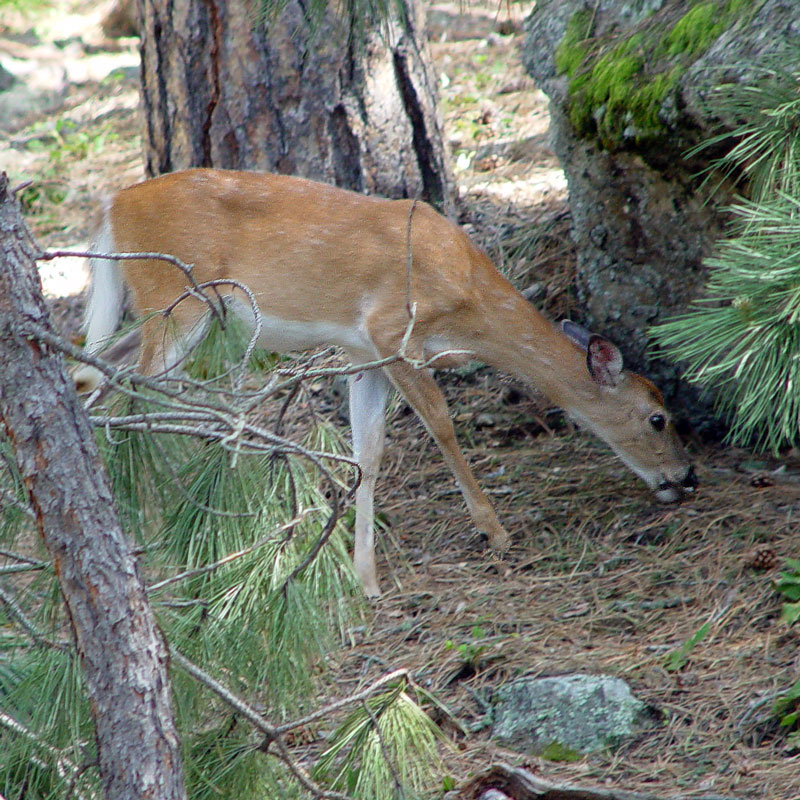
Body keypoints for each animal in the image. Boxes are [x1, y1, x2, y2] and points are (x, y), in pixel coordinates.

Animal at [76, 167, 700, 592]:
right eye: (658, 417)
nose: (686, 477)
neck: (469, 300)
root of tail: (111, 203)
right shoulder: (393, 331)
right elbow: (441, 424)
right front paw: (494, 531)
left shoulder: (362, 352)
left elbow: (368, 453)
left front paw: (365, 577)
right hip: (176, 302)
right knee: (133, 401)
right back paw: (156, 538)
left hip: (159, 312)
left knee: (92, 379)